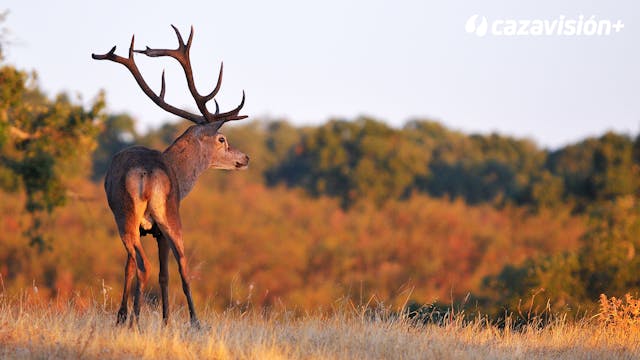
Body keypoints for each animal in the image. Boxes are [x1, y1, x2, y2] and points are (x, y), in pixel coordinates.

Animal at [91, 25, 249, 328]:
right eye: (222, 139)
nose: (246, 157)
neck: (178, 172)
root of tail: (147, 172)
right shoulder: (157, 230)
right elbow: (159, 273)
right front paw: (150, 318)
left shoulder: (151, 230)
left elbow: (138, 270)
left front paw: (129, 316)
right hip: (163, 216)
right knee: (173, 267)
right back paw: (176, 321)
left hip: (130, 218)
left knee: (153, 266)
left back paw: (142, 320)